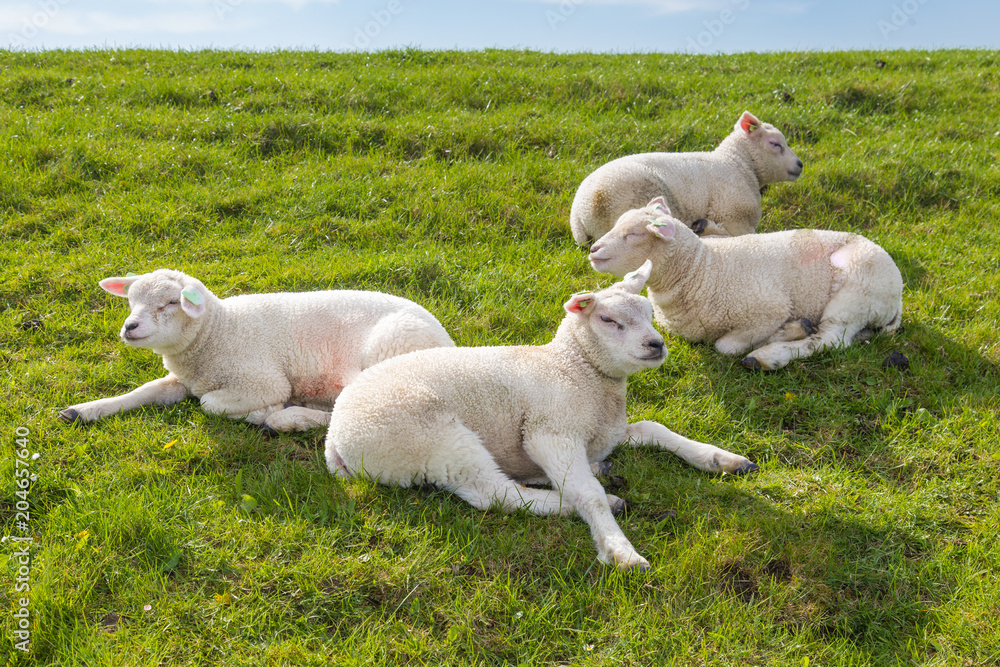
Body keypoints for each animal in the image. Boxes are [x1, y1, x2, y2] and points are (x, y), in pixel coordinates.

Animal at [59, 269, 454, 432]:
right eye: (131, 300)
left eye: (171, 302)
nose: (130, 327)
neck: (220, 332)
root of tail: (448, 342)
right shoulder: (182, 380)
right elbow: (145, 391)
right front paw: (84, 410)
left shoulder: (261, 381)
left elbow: (210, 404)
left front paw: (264, 412)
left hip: (390, 350)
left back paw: (287, 419)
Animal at [325, 261, 757, 571]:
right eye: (608, 320)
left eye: (651, 313)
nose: (656, 345)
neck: (574, 369)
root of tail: (334, 440)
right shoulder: (551, 431)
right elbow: (587, 495)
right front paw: (620, 551)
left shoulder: (601, 428)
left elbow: (656, 428)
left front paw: (721, 458)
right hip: (436, 441)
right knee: (493, 493)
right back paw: (595, 499)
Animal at [569, 110, 803, 244]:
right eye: (775, 144)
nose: (800, 165)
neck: (738, 163)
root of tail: (581, 214)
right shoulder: (735, 214)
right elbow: (743, 237)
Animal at [588, 197, 904, 371]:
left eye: (634, 234)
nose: (593, 250)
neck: (703, 269)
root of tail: (897, 298)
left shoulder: (769, 308)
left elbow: (726, 346)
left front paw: (777, 336)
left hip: (856, 293)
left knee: (830, 339)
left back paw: (768, 356)